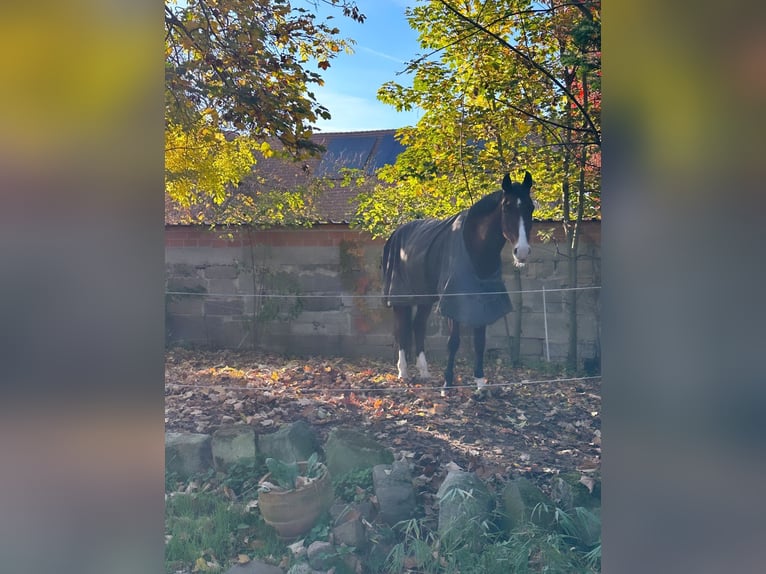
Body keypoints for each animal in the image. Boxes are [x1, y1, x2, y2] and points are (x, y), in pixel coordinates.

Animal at [382, 173, 536, 394]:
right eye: (507, 207)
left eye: (530, 208)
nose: (522, 252)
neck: (475, 247)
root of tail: (397, 232)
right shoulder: (452, 302)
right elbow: (453, 342)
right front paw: (447, 384)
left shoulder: (482, 301)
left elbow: (479, 342)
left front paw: (480, 384)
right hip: (400, 297)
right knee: (401, 329)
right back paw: (403, 372)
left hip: (424, 297)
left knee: (418, 326)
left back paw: (424, 371)